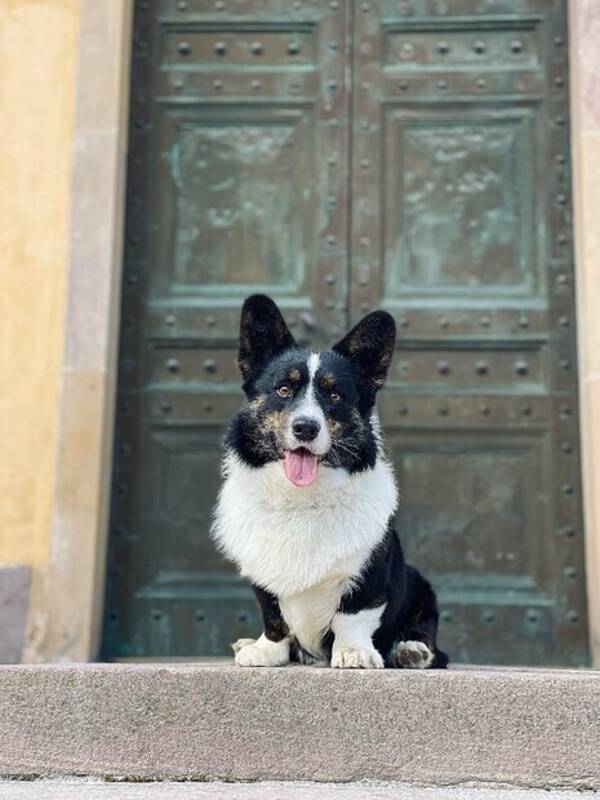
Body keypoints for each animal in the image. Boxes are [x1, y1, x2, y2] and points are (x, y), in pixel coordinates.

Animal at [213, 294, 448, 668]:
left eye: (335, 395)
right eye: (283, 389)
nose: (306, 427)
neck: (301, 498)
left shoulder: (368, 573)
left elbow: (352, 615)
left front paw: (354, 652)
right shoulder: (263, 573)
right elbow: (273, 614)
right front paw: (266, 650)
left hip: (420, 584)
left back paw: (412, 650)